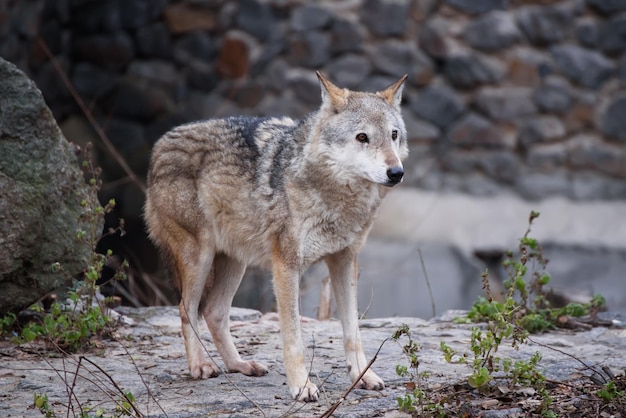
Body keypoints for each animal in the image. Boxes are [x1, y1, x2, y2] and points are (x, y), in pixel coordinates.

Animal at [145, 72, 410, 402]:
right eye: (362, 137)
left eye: (394, 135)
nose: (396, 172)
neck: (336, 197)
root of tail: (160, 142)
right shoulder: (286, 265)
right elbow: (293, 336)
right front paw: (302, 386)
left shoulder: (345, 261)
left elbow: (353, 332)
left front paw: (363, 377)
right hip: (199, 258)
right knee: (187, 309)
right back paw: (200, 366)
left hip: (235, 262)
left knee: (214, 312)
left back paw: (240, 365)